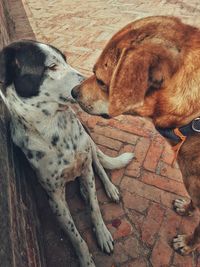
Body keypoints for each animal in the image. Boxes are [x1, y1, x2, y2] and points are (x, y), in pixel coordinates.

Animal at [72, 15, 200, 256]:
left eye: (101, 81)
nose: (72, 92)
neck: (192, 118)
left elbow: (198, 230)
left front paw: (188, 244)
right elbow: (194, 202)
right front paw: (187, 209)